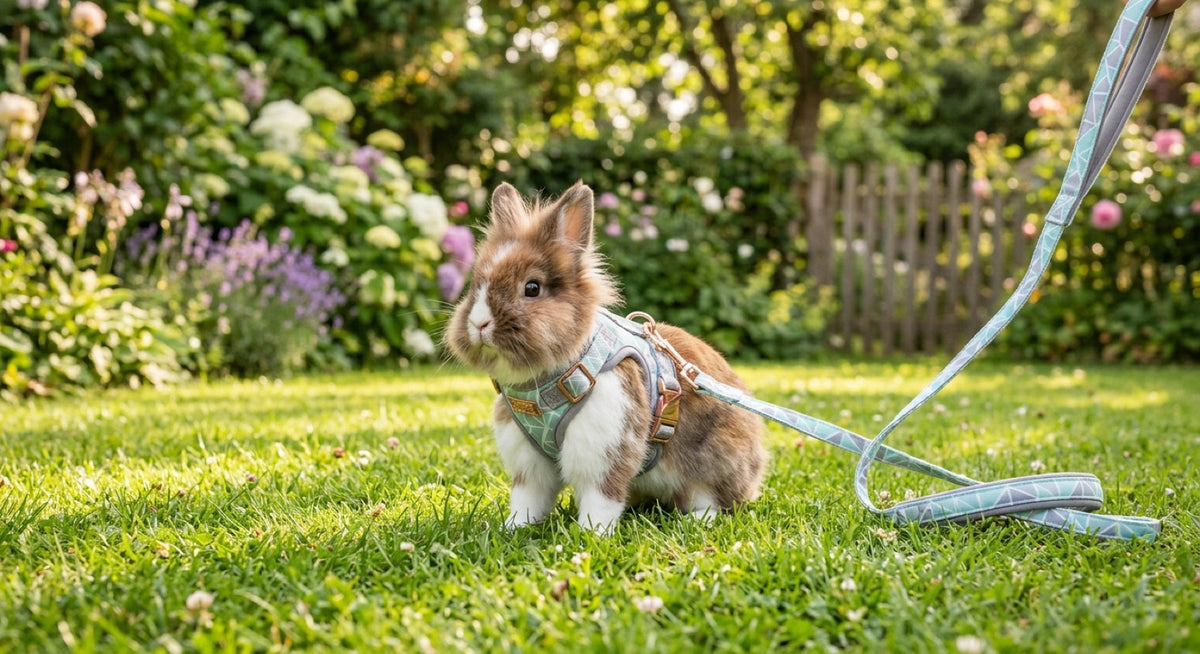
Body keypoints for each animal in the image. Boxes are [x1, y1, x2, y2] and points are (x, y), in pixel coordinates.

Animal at [445, 181, 767, 535]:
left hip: (713, 462)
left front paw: (592, 534)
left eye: (532, 288)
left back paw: (695, 519)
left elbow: (603, 495)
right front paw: (514, 528)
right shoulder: (529, 462)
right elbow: (528, 497)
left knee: (714, 501)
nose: (479, 324)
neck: (546, 380)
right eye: (476, 286)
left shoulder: (605, 447)